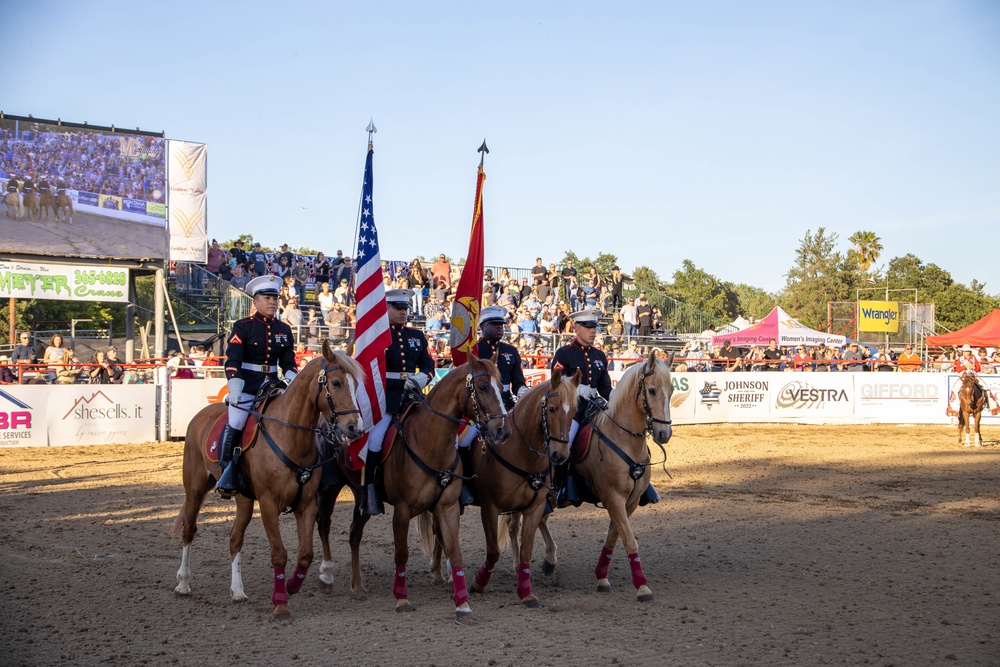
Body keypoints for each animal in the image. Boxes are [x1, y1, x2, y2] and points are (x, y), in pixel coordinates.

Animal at [174, 342, 366, 624]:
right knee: (189, 529)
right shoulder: (268, 504)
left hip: (243, 499)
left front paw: (291, 586)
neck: (290, 436)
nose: (355, 428)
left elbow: (305, 555)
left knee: (235, 538)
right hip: (196, 489)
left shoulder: (306, 504)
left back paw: (237, 591)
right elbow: (279, 554)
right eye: (337, 383)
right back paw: (184, 583)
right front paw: (280, 603)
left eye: (357, 384)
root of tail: (202, 414)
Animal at [316, 354, 512, 620]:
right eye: (482, 387)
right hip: (331, 487)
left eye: (501, 388)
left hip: (361, 498)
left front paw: (462, 603)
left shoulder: (448, 508)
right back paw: (327, 576)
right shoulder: (402, 510)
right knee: (324, 524)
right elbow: (402, 553)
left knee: (355, 534)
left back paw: (357, 586)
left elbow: (454, 549)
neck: (429, 442)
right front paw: (402, 598)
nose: (502, 430)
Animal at [420, 368, 580, 608]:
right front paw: (478, 582)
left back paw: (440, 571)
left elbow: (526, 548)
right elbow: (493, 551)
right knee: (439, 532)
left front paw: (526, 589)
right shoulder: (490, 508)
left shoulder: (534, 508)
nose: (559, 455)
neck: (520, 452)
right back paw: (444, 572)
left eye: (575, 411)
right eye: (552, 409)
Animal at [516, 352, 672, 604]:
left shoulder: (630, 501)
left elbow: (613, 537)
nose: (663, 434)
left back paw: (549, 561)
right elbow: (629, 539)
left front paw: (602, 577)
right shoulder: (613, 497)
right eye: (651, 390)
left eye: (672, 390)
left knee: (540, 520)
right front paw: (642, 586)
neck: (622, 439)